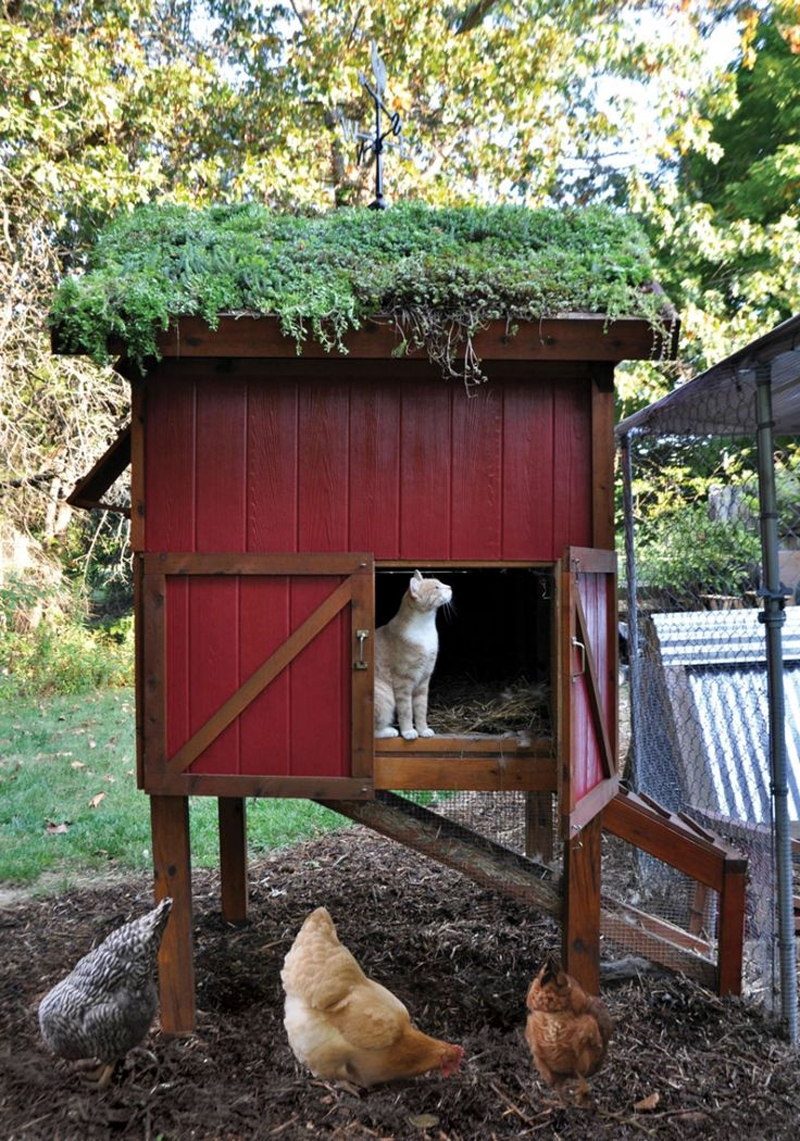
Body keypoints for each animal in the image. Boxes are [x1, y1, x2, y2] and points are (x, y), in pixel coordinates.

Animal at [372, 568, 449, 739]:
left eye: (441, 583)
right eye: (436, 587)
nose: (450, 587)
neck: (425, 627)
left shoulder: (424, 680)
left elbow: (421, 709)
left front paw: (423, 729)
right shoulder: (403, 682)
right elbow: (406, 710)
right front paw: (408, 731)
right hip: (385, 695)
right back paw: (389, 731)